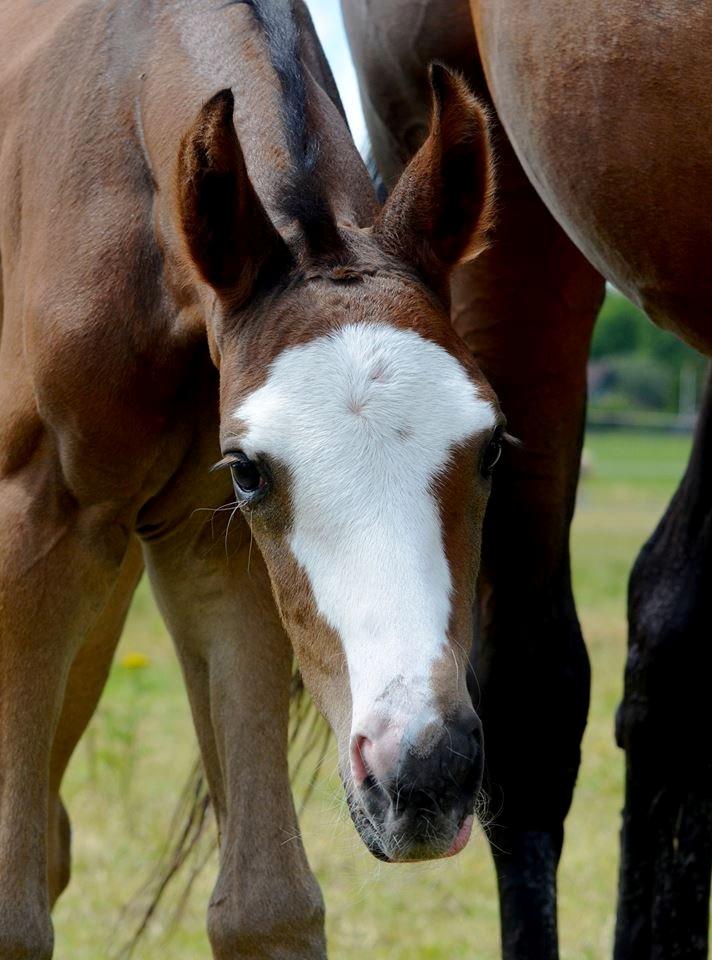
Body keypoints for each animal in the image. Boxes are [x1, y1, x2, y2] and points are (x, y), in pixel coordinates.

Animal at [0, 1, 506, 960]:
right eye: (249, 471)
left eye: (492, 447)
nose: (424, 773)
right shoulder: (40, 525)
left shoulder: (214, 549)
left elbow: (267, 903)